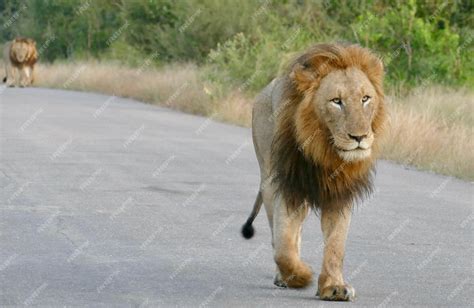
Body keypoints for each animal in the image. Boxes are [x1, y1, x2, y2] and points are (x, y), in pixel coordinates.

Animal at [239, 43, 386, 300]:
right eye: (336, 101)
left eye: (365, 99)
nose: (359, 137)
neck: (325, 153)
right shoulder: (287, 187)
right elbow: (283, 244)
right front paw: (299, 276)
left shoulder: (339, 194)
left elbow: (336, 245)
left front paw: (334, 287)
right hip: (268, 179)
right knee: (279, 234)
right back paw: (283, 277)